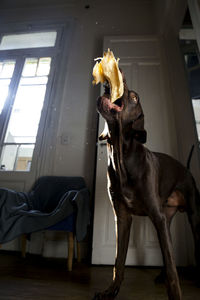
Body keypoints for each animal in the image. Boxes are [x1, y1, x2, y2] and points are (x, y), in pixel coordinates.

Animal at [93, 71, 200, 298]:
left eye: (134, 98)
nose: (118, 80)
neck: (123, 159)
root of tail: (186, 169)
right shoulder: (123, 218)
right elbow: (119, 262)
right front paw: (111, 291)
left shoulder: (156, 216)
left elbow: (172, 266)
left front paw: (175, 295)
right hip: (166, 220)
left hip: (193, 217)